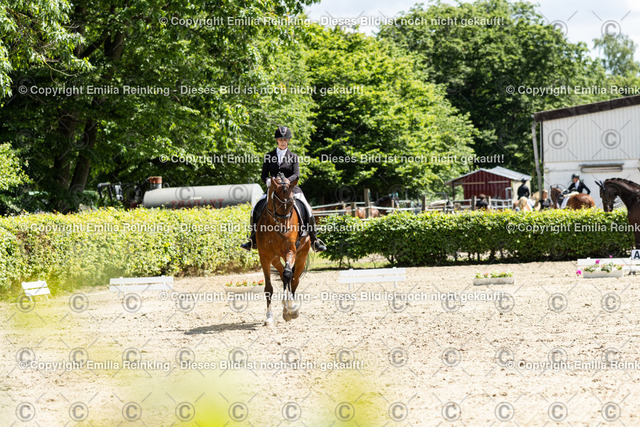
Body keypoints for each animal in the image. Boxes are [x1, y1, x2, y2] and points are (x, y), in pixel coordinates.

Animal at [256, 172, 310, 325]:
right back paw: (284, 307)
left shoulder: (290, 251)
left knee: (293, 279)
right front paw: (269, 317)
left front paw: (291, 309)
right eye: (276, 202)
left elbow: (288, 275)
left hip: (302, 256)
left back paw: (289, 309)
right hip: (275, 258)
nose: (285, 228)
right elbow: (269, 288)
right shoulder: (265, 257)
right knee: (283, 275)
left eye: (292, 203)